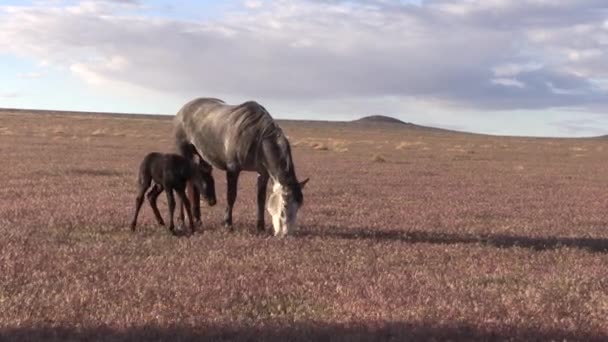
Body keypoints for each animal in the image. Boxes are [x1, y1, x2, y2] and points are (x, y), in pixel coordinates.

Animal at [175, 96, 308, 235]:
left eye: (299, 206)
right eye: (284, 206)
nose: (286, 234)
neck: (258, 138)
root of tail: (183, 109)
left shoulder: (263, 173)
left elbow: (261, 199)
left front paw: (260, 227)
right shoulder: (233, 169)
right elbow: (231, 196)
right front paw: (228, 224)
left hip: (202, 157)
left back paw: (197, 220)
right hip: (184, 152)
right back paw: (181, 222)